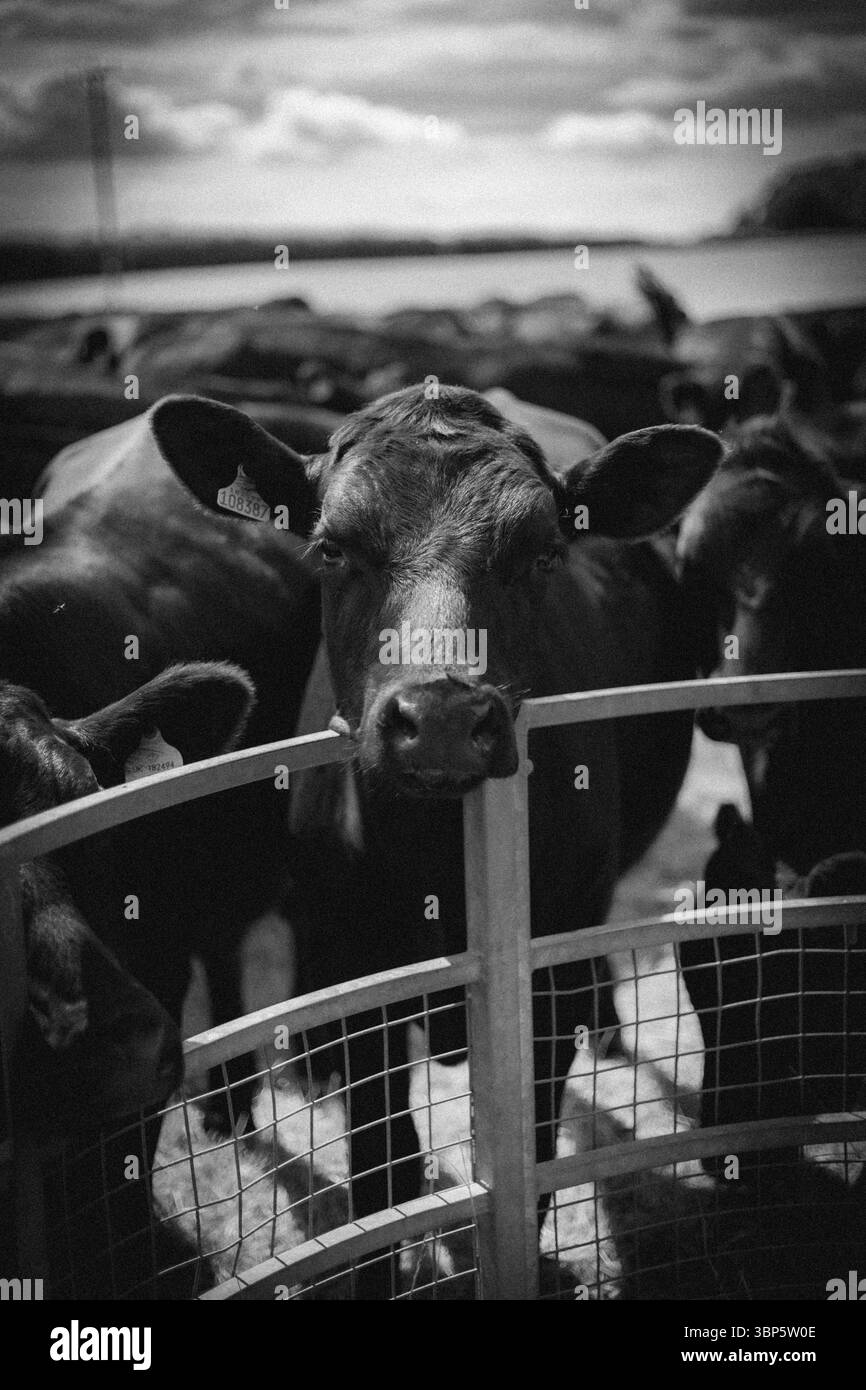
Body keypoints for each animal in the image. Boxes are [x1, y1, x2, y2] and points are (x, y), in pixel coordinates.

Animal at [160, 382, 723, 1294]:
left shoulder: (542, 961)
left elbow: (534, 1145)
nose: (446, 719)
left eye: (544, 553)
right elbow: (378, 1169)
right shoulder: (357, 966)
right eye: (331, 548)